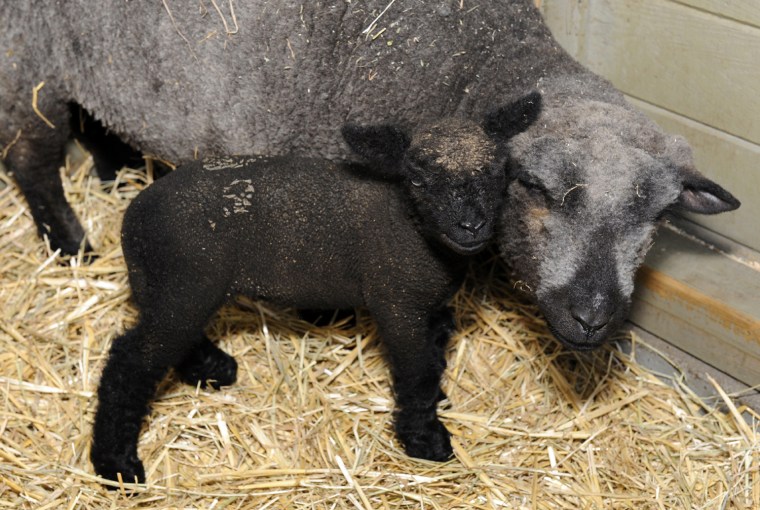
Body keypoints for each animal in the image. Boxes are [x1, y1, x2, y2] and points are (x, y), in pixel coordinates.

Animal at [90, 92, 540, 486]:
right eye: (417, 178)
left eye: (499, 170)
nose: (472, 226)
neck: (415, 228)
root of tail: (133, 219)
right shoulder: (398, 305)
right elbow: (416, 374)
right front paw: (426, 442)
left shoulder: (430, 308)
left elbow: (434, 360)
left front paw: (439, 400)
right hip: (185, 286)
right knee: (130, 362)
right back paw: (116, 464)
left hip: (171, 291)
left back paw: (212, 368)